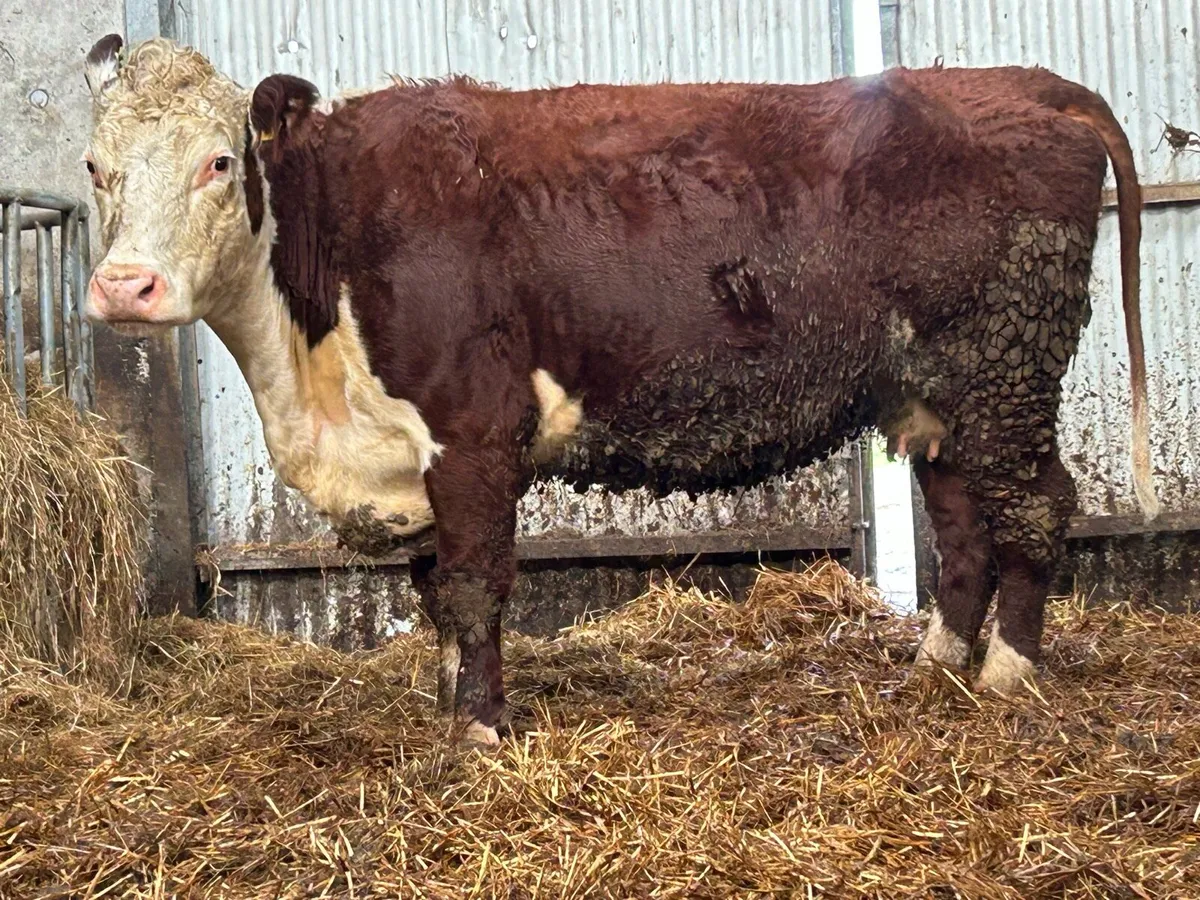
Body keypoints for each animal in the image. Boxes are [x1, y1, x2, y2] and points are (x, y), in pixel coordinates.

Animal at [81, 35, 1157, 745]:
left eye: (221, 161)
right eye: (95, 167)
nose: (125, 286)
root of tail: (1021, 83)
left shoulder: (475, 430)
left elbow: (474, 587)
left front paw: (480, 732)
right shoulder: (413, 459)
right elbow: (435, 593)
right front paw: (447, 706)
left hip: (1004, 367)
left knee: (1036, 507)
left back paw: (1010, 674)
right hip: (936, 393)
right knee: (966, 521)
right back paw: (939, 665)